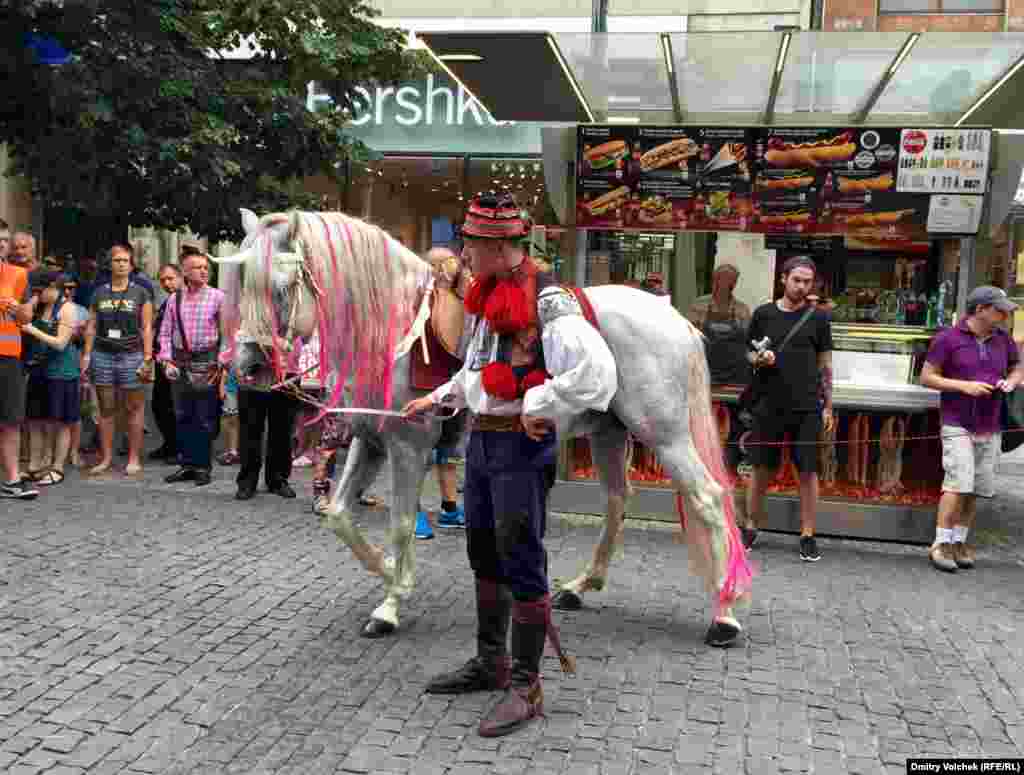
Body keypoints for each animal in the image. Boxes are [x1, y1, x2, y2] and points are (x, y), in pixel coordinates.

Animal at [216, 205, 757, 642]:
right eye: (241, 287)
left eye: (281, 288)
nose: (248, 367)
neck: (390, 329)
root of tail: (677, 320)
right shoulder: (368, 443)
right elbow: (340, 516)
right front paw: (388, 571)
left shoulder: (408, 448)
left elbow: (399, 523)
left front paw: (390, 603)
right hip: (608, 433)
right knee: (617, 502)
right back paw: (581, 586)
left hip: (664, 435)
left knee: (709, 498)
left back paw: (724, 613)